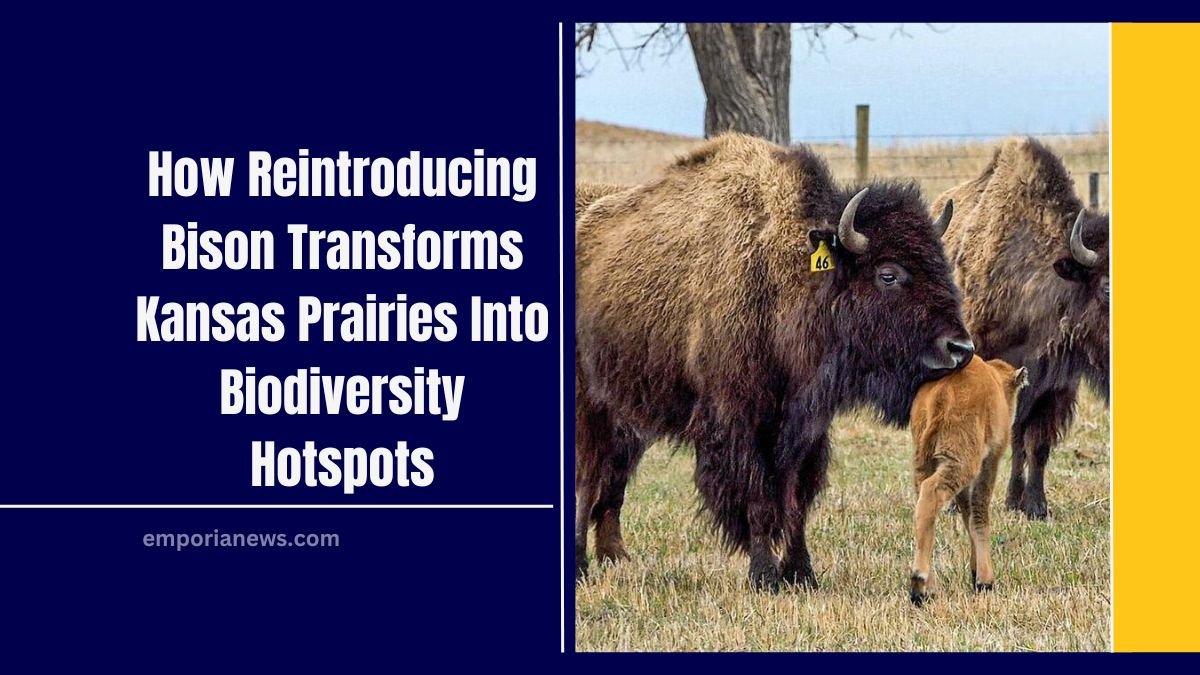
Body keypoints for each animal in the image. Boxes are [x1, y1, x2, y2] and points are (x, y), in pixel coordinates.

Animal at [912, 355, 1027, 600]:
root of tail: (941, 392)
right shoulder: (990, 460)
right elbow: (979, 511)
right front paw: (985, 581)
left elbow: (967, 512)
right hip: (960, 463)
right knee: (931, 495)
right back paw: (918, 583)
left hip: (924, 462)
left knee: (923, 507)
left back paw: (927, 589)